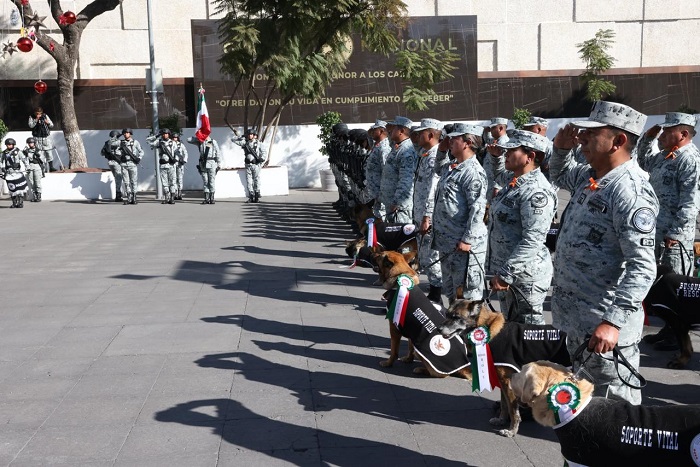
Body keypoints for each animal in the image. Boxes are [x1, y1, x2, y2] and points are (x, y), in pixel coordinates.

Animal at [440, 300, 572, 438]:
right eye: (447, 314)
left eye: (456, 317)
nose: (438, 329)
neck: (487, 327)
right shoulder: (502, 381)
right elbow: (504, 405)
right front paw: (501, 420)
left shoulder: (507, 382)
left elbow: (512, 410)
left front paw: (512, 431)